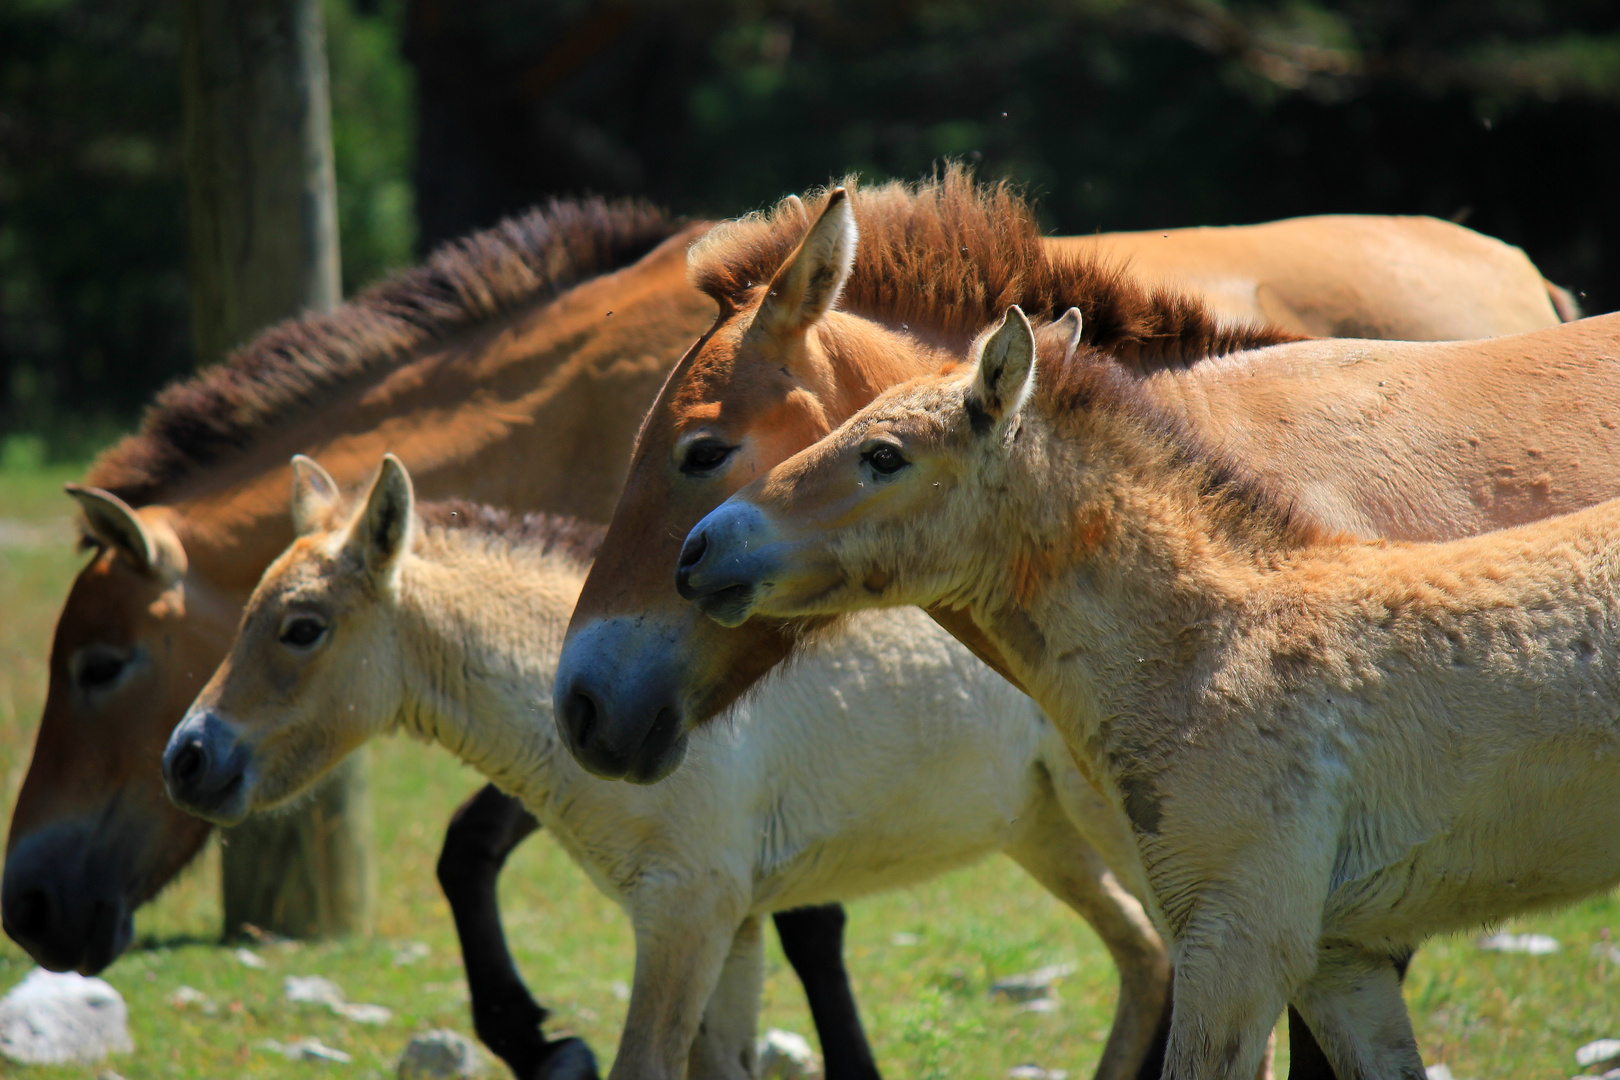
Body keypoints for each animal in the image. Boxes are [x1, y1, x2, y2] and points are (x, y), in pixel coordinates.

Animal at [164, 453, 1172, 1080]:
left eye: (301, 628)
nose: (188, 758)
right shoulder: (731, 921)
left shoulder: (684, 914)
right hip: (1048, 833)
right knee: (1146, 957)